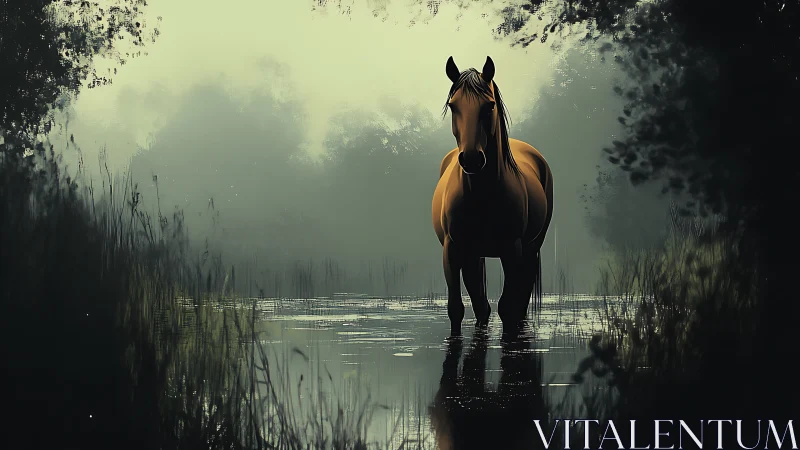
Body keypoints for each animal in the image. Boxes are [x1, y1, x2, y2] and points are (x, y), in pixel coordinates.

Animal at [431, 56, 554, 335]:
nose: (471, 159)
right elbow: (457, 309)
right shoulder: (453, 250)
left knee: (519, 301)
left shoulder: (513, 250)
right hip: (473, 254)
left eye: (489, 106)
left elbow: (508, 307)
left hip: (531, 248)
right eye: (453, 106)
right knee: (481, 306)